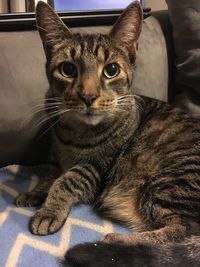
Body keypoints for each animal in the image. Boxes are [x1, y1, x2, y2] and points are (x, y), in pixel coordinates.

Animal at [14, 1, 200, 267]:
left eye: (111, 70)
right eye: (67, 69)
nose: (88, 96)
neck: (74, 133)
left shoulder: (97, 167)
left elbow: (66, 180)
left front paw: (49, 211)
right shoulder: (54, 157)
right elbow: (49, 176)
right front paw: (35, 192)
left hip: (171, 180)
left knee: (184, 230)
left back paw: (117, 243)